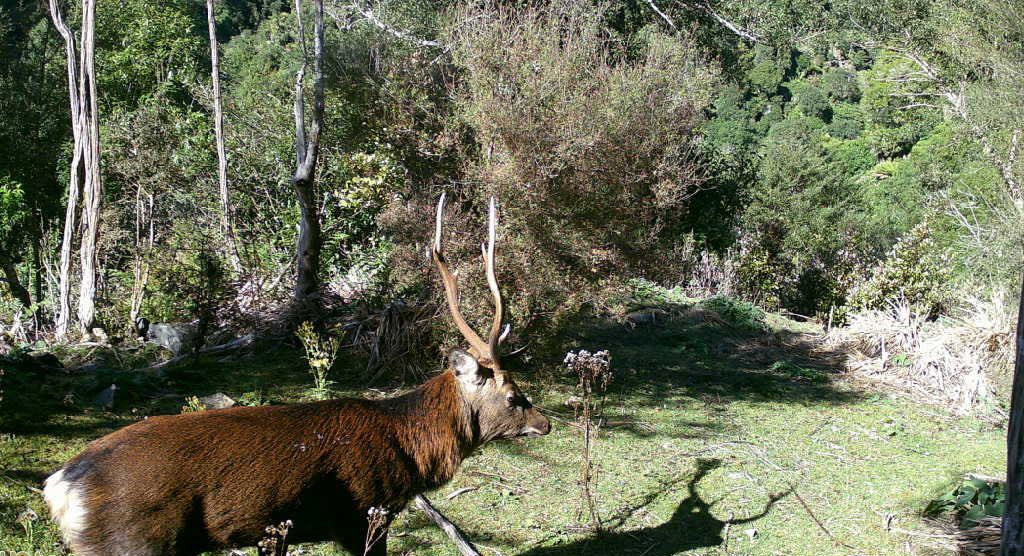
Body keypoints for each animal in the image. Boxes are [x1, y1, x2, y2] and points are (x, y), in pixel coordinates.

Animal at [43, 194, 550, 556]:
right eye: (513, 396)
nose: (544, 423)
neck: (411, 451)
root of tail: (60, 487)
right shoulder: (365, 514)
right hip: (133, 543)